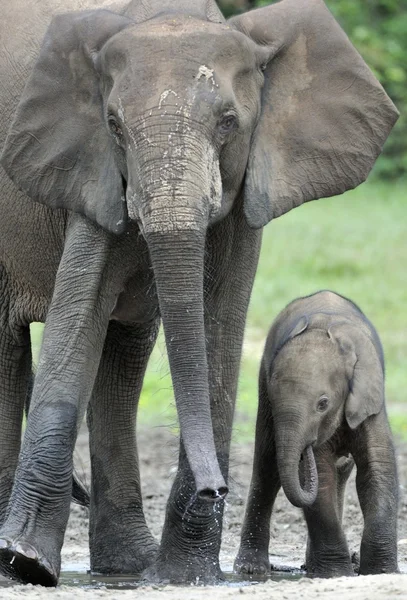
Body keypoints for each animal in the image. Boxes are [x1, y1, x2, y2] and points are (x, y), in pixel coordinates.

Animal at [236, 292, 398, 580]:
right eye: (275, 402)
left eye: (323, 404)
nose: (306, 447)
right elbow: (321, 475)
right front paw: (336, 574)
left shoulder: (369, 403)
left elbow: (377, 470)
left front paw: (381, 572)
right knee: (267, 468)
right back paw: (252, 569)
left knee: (340, 473)